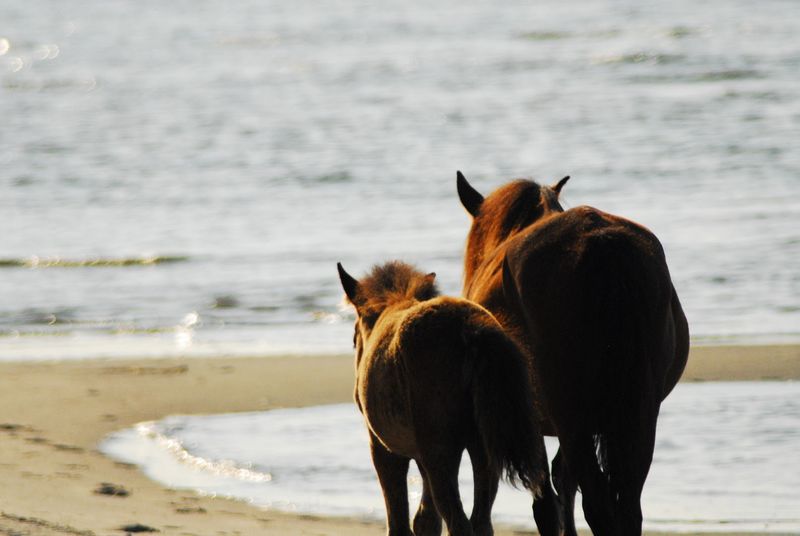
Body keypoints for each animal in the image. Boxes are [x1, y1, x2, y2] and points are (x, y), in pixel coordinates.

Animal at [337, 260, 552, 536]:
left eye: (354, 337)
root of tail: (471, 328)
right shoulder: (422, 455)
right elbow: (426, 519)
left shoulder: (384, 449)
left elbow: (400, 521)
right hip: (481, 449)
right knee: (480, 520)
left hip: (441, 452)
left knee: (458, 521)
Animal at [456, 172, 690, 536]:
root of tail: (602, 244)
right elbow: (563, 481)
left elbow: (546, 502)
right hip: (638, 414)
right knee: (627, 506)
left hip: (572, 416)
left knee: (597, 505)